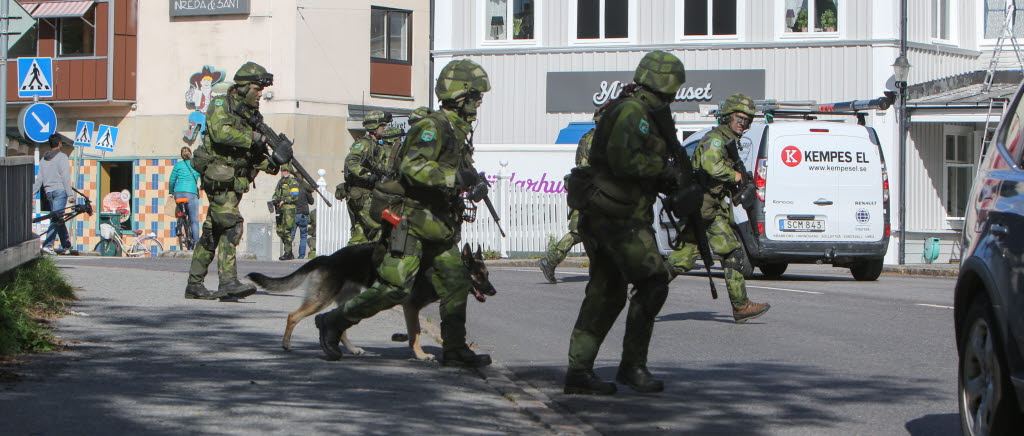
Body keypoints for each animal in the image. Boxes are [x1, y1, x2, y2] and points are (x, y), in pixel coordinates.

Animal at [243, 241, 491, 360]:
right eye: (479, 275)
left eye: (487, 274)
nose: (494, 291)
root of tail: (327, 257)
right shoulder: (411, 307)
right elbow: (416, 332)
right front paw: (420, 355)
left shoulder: (410, 308)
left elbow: (414, 332)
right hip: (320, 300)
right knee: (293, 316)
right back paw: (286, 344)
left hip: (349, 299)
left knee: (340, 322)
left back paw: (350, 349)